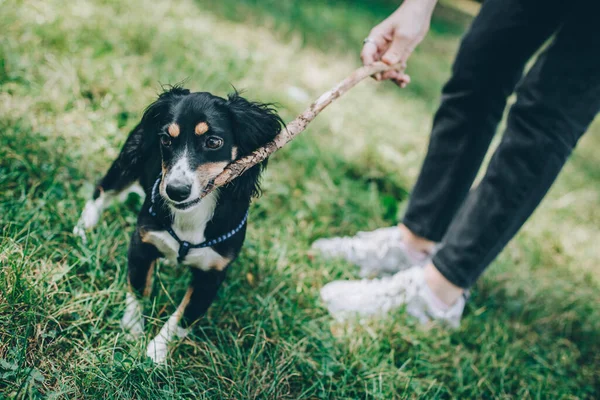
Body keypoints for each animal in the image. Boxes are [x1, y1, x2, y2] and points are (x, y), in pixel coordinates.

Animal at [75, 86, 284, 362]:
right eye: (166, 139)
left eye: (213, 142)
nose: (175, 191)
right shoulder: (142, 242)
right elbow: (139, 287)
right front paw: (133, 328)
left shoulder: (213, 273)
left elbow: (185, 316)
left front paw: (157, 351)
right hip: (128, 160)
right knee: (103, 190)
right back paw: (84, 226)